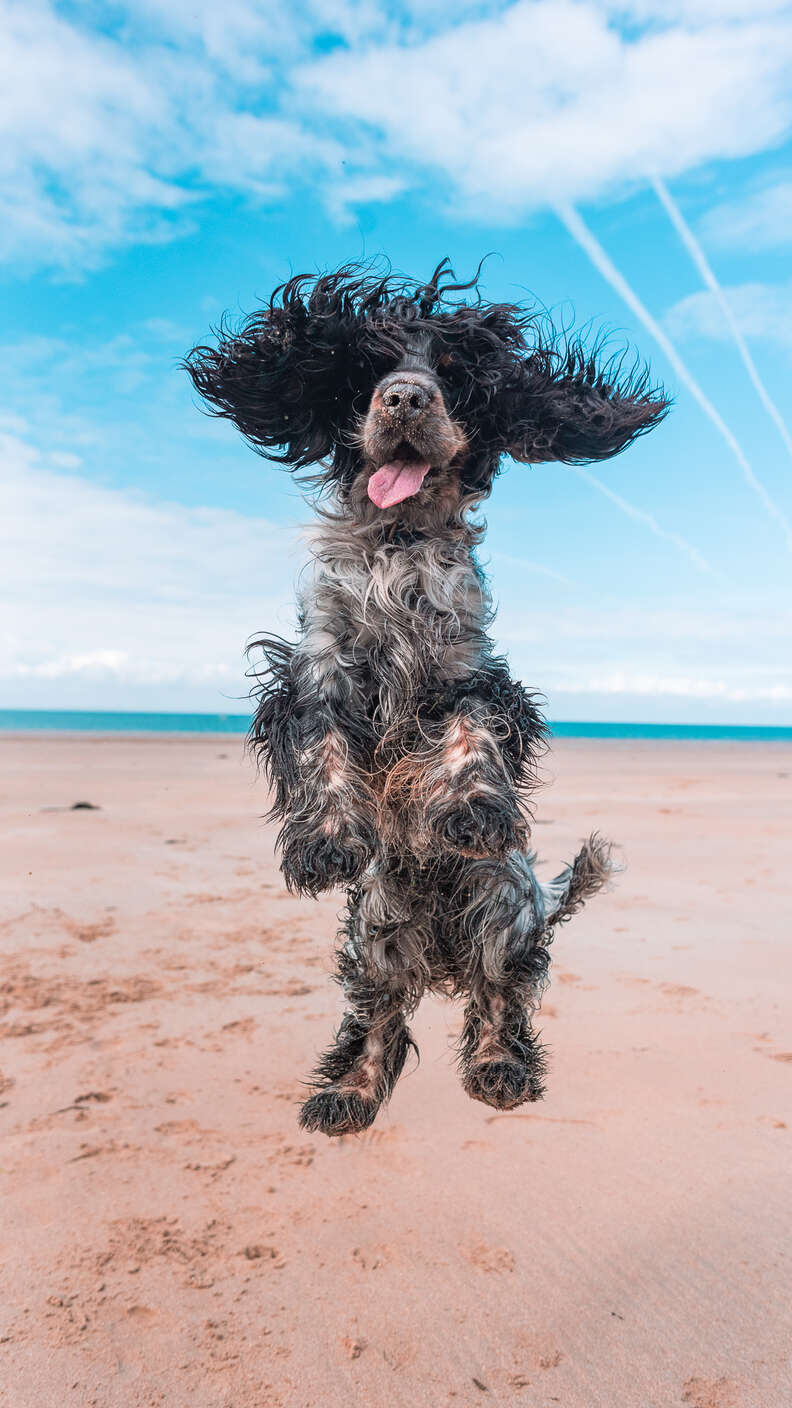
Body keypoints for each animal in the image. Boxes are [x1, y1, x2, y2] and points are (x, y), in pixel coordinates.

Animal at [183, 261, 665, 1132]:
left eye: (457, 375)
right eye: (365, 370)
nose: (405, 398)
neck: (397, 544)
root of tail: (441, 954)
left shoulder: (474, 674)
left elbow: (471, 734)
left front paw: (470, 806)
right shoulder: (316, 668)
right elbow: (322, 748)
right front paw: (327, 840)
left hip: (506, 911)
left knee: (498, 996)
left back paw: (499, 1068)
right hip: (377, 933)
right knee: (379, 1015)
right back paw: (347, 1094)